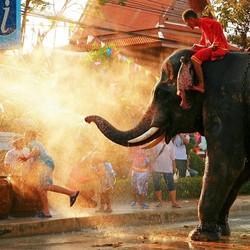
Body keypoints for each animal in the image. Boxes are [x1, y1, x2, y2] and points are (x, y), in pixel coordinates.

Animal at [85, 47, 249, 241]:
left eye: (161, 94)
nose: (87, 119)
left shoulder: (225, 103)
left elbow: (228, 162)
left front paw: (199, 236)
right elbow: (243, 168)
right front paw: (221, 231)